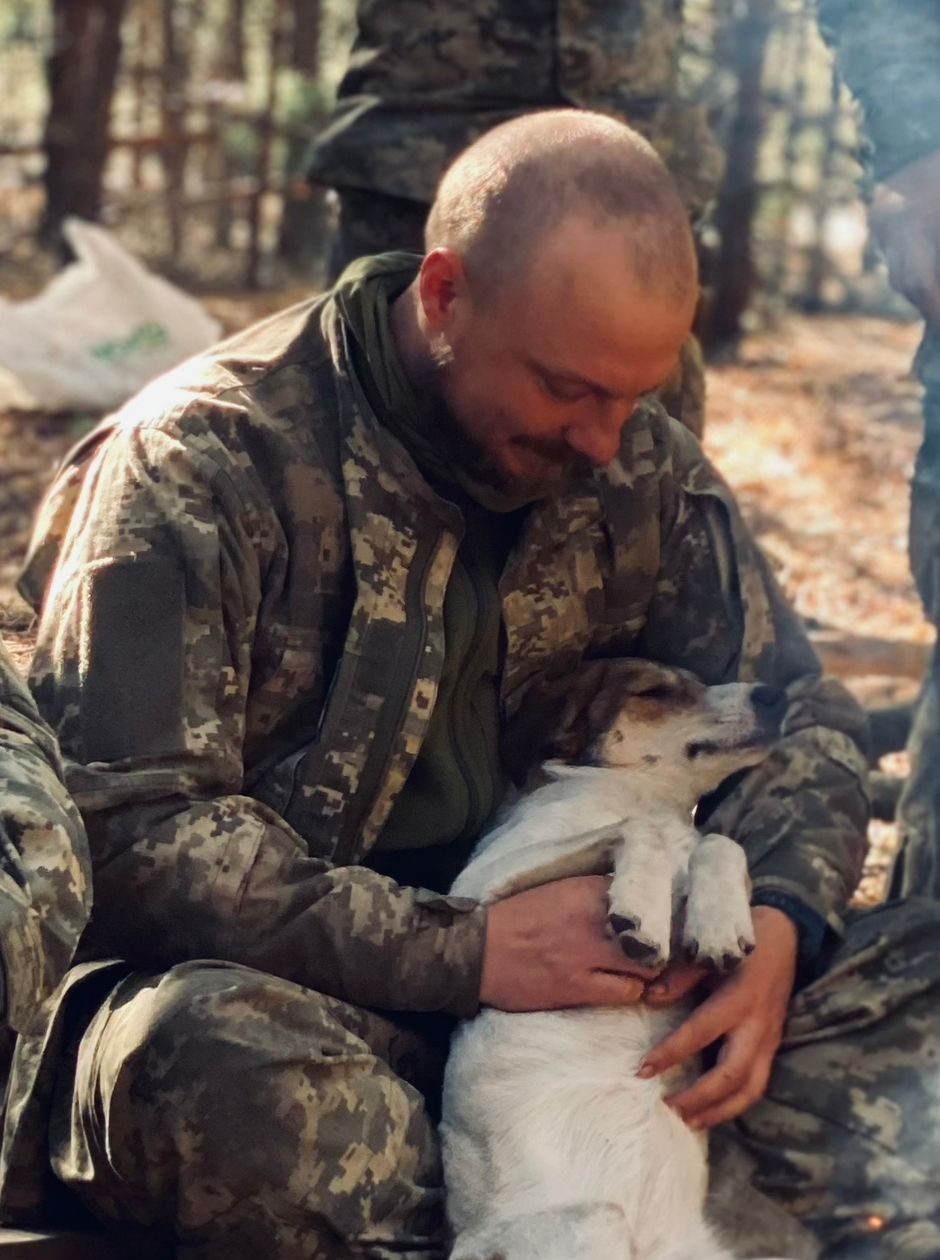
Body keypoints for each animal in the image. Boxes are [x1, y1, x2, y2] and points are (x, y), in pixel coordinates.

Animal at [440, 658, 794, 1260]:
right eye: (656, 692)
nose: (776, 693)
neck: (638, 794)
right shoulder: (475, 889)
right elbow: (638, 831)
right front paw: (641, 911)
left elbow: (720, 842)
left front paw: (719, 920)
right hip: (591, 1220)